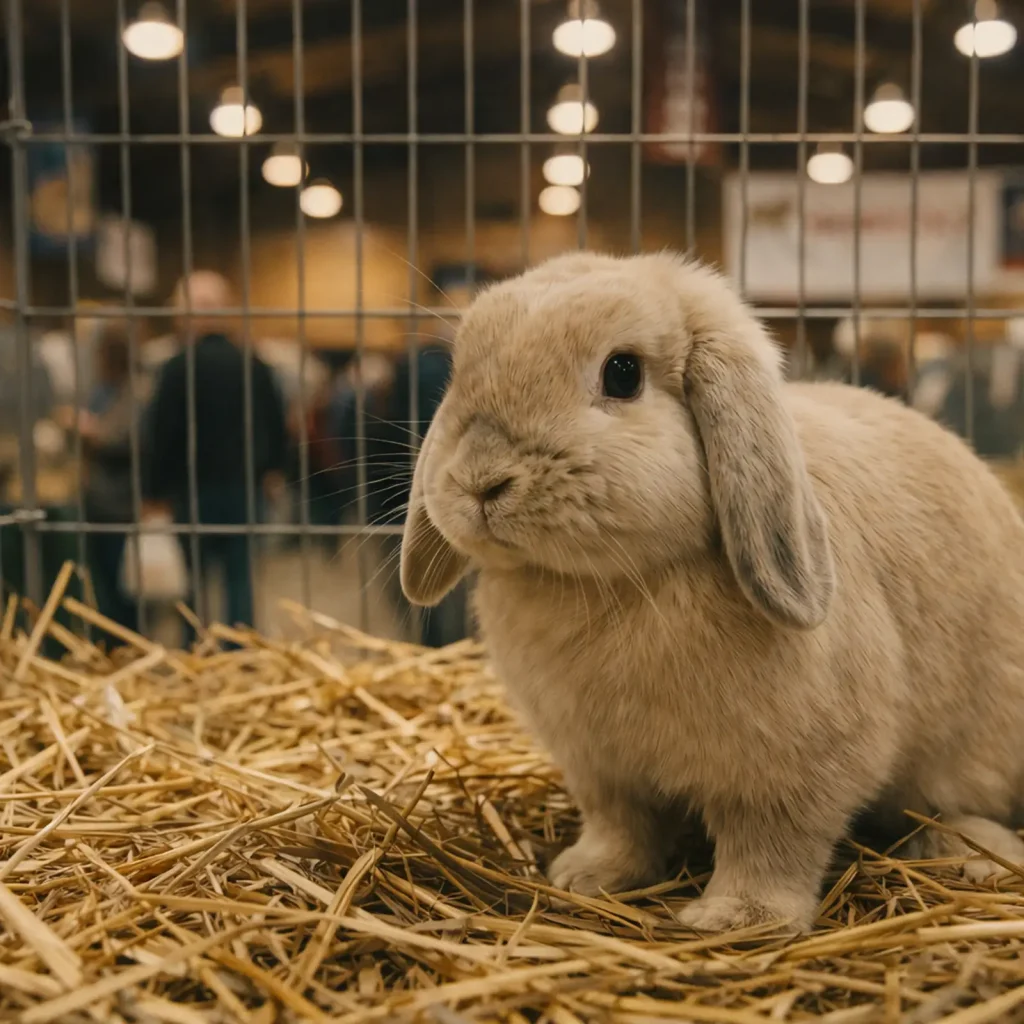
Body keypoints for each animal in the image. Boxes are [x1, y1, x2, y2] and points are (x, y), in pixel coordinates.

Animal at [400, 250, 1024, 933]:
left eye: (622, 373)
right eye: (460, 371)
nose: (481, 480)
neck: (607, 582)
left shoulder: (792, 775)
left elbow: (773, 847)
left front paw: (738, 918)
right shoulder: (601, 769)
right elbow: (621, 828)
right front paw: (586, 876)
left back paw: (975, 852)